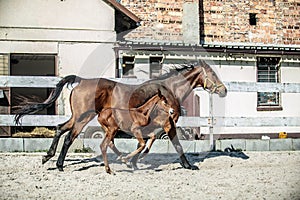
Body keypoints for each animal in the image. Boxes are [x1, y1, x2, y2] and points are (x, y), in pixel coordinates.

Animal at [13, 60, 225, 172]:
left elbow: (148, 142)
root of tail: (81, 81)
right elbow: (176, 144)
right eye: (213, 74)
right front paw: (188, 165)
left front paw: (133, 161)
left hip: (78, 117)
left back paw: (47, 157)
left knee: (60, 129)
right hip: (83, 118)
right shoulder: (168, 123)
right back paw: (59, 165)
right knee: (69, 137)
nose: (223, 90)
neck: (169, 90)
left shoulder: (154, 125)